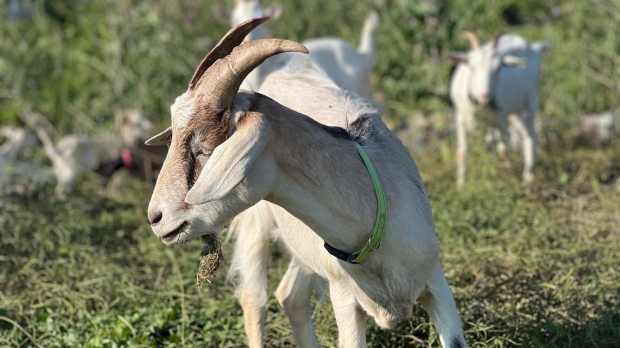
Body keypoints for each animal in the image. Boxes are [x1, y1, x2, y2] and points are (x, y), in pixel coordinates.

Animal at [145, 17, 464, 348]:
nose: (156, 217)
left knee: (290, 296)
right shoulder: (344, 300)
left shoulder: (438, 286)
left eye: (205, 148)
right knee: (254, 299)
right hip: (257, 224)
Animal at [448, 31, 548, 186]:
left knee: (530, 134)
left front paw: (506, 179)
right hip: (514, 111)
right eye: (471, 66)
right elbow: (462, 153)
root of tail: (533, 48)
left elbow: (503, 150)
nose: (485, 96)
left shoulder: (501, 117)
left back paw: (528, 175)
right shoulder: (461, 118)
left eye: (499, 68)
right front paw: (460, 185)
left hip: (529, 101)